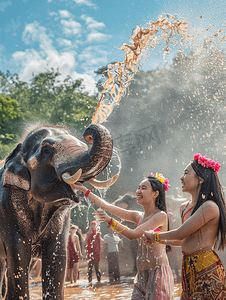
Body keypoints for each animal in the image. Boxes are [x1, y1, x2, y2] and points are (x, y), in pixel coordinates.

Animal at [0, 123, 119, 298]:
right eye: (46, 150)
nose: (88, 133)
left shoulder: (61, 218)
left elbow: (57, 258)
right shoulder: (8, 209)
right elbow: (19, 257)